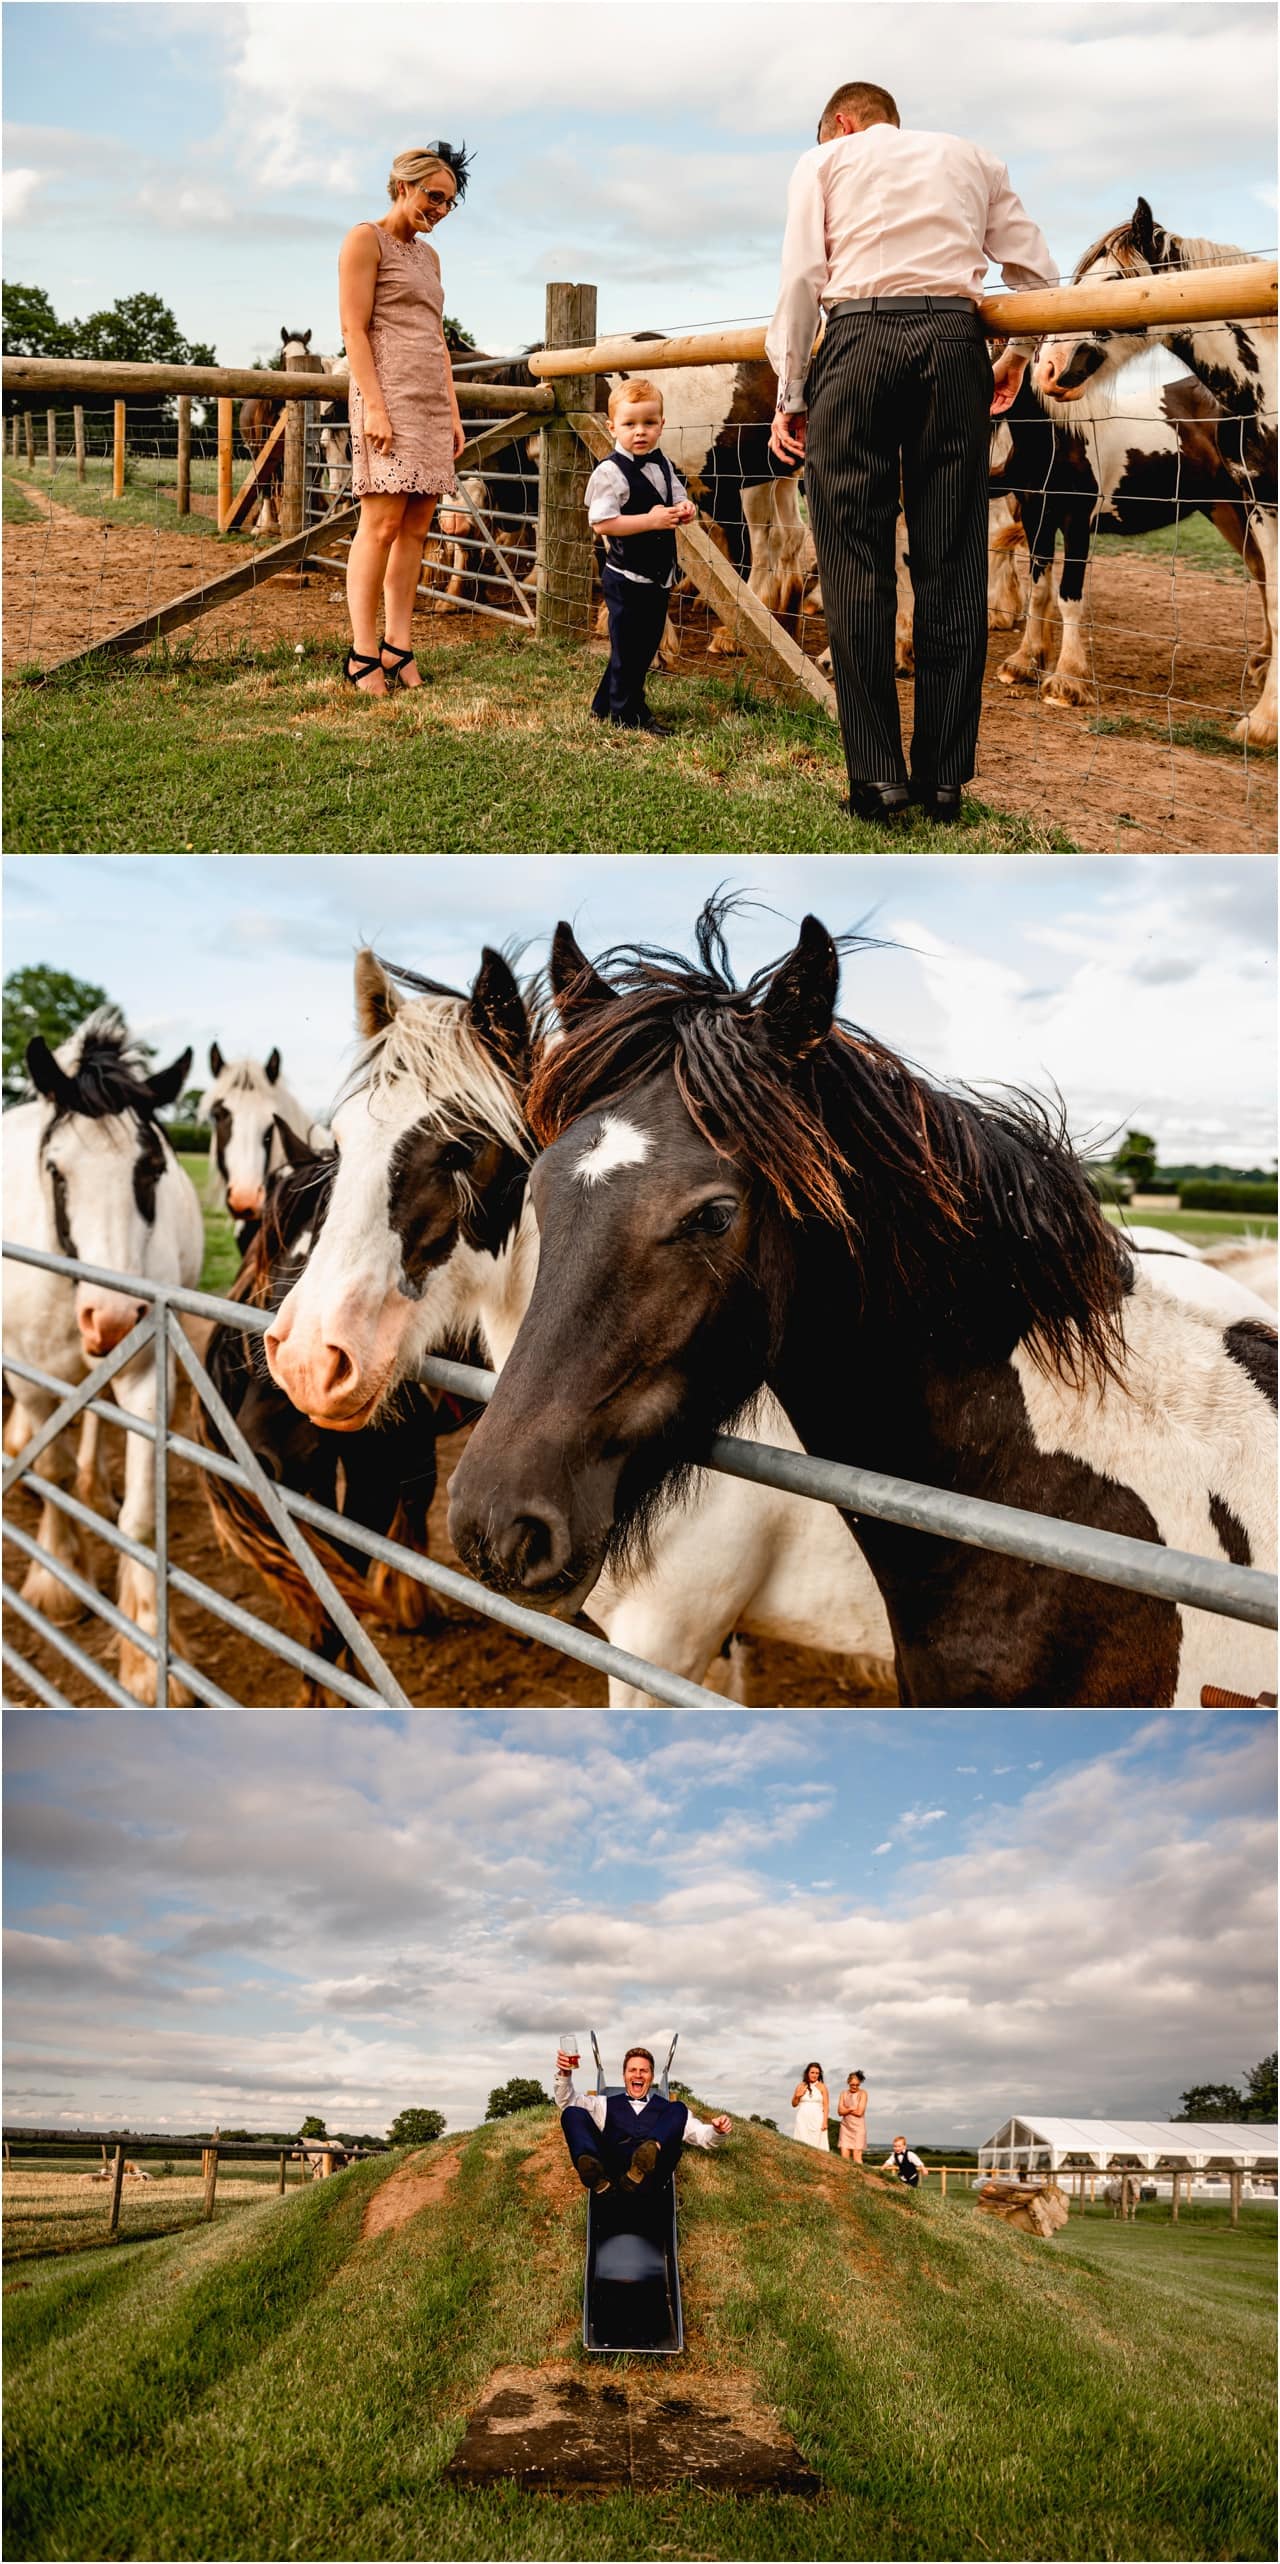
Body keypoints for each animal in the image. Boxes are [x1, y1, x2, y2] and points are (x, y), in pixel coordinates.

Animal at [3, 1009, 203, 1703]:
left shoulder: (146, 1374)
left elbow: (142, 1517)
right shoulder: (29, 1377)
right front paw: (58, 1580)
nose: (113, 1318)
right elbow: (50, 1474)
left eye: (151, 1169)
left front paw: (145, 1652)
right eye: (56, 1171)